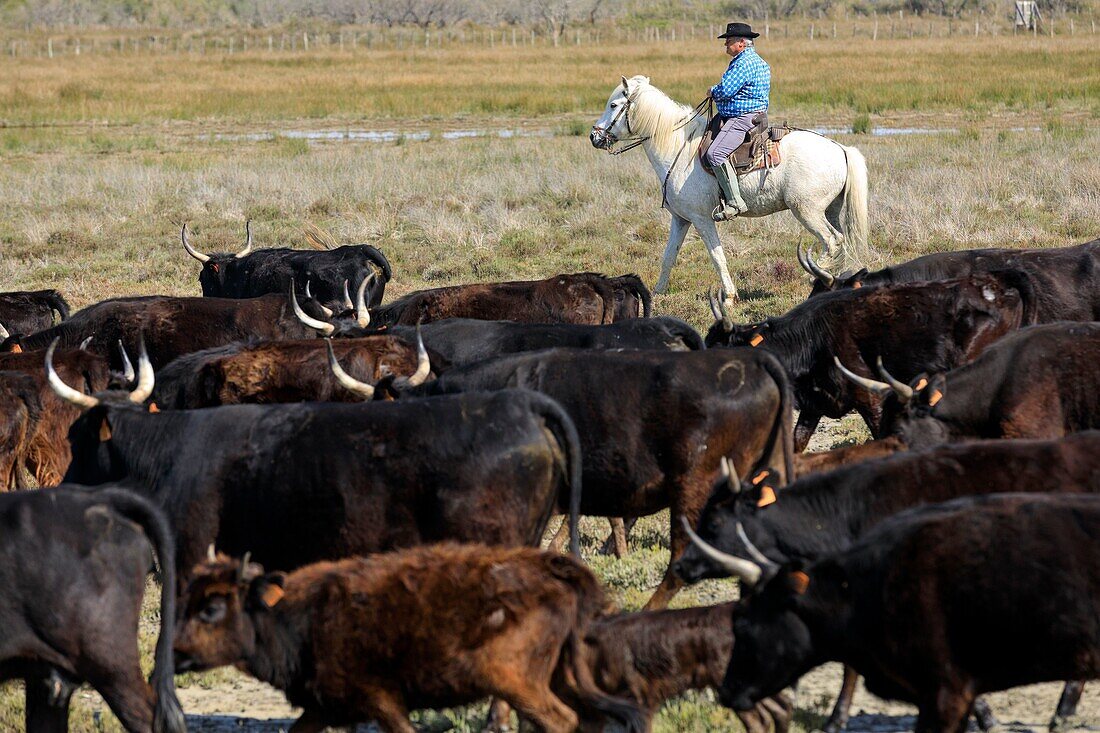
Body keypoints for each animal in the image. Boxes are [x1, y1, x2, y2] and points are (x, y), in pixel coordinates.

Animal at [589, 76, 871, 308]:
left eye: (613, 105)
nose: (594, 137)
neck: (678, 148)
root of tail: (840, 148)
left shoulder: (702, 220)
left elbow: (717, 256)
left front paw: (729, 297)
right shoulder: (681, 219)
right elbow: (669, 256)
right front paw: (658, 293)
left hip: (807, 211)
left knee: (832, 241)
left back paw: (811, 276)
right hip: (830, 210)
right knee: (841, 241)